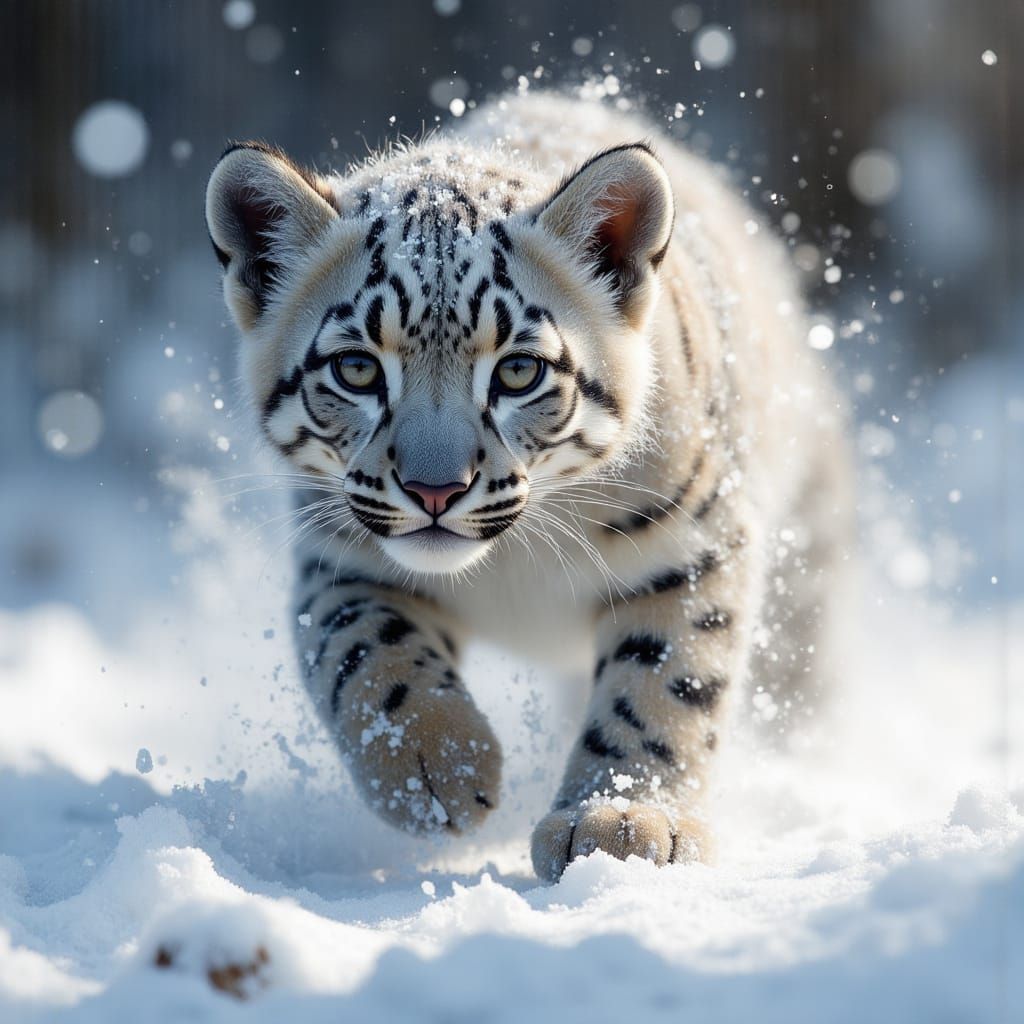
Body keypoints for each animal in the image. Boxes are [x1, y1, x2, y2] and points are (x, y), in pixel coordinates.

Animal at [205, 91, 852, 881]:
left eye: (519, 370)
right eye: (356, 368)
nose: (435, 490)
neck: (514, 563)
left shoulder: (692, 545)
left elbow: (665, 681)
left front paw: (623, 821)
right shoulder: (341, 557)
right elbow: (362, 649)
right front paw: (438, 767)